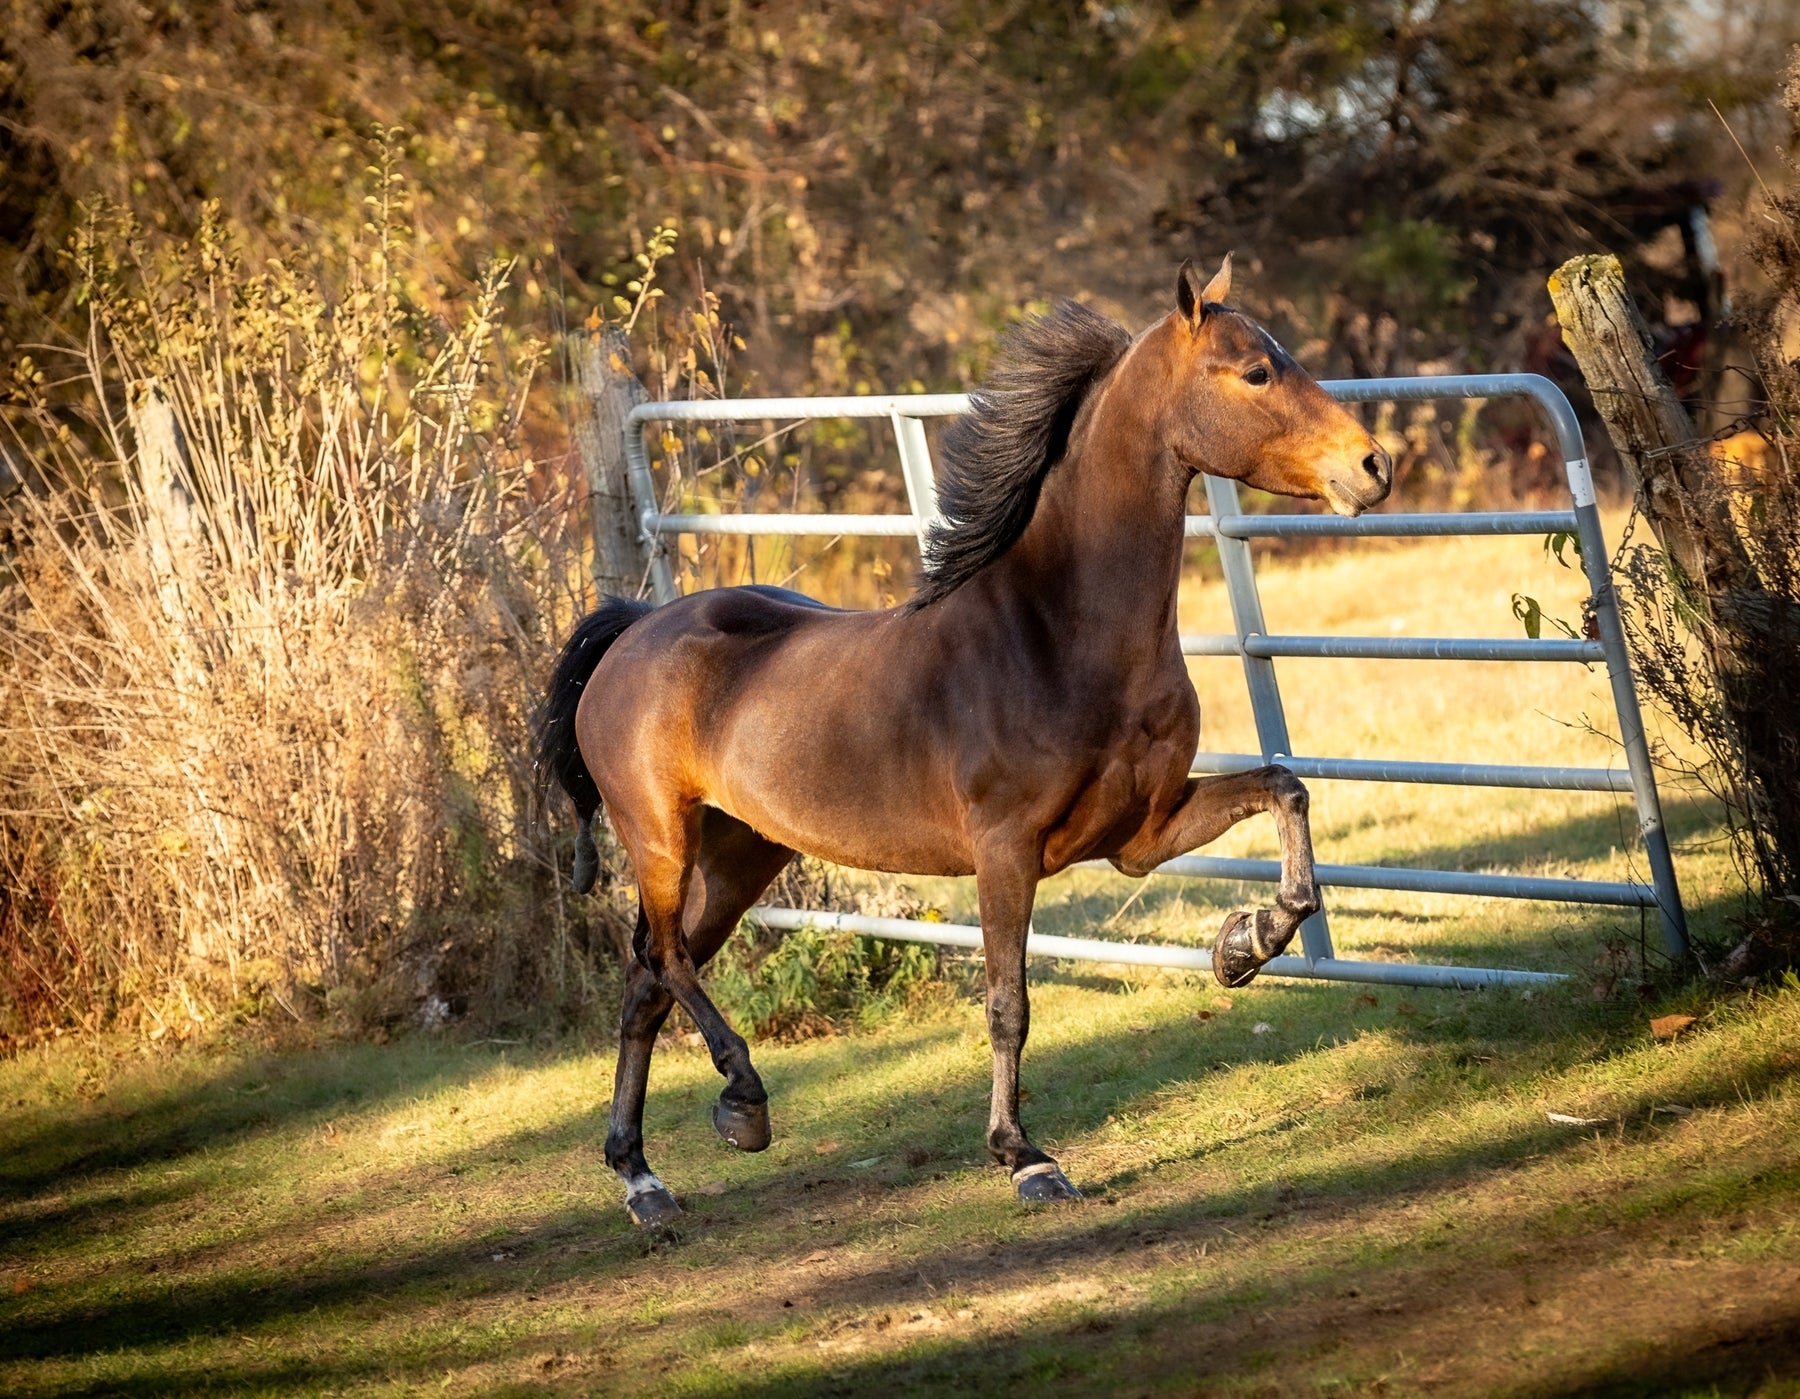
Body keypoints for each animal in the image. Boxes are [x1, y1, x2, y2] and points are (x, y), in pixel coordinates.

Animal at [536, 258, 1391, 1228]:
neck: (1054, 630)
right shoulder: (1006, 851)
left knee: (646, 983)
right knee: (666, 961)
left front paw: (1243, 944)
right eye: (1255, 371)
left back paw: (642, 1178)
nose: (1374, 465)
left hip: (739, 854)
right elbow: (1007, 1003)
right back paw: (741, 1103)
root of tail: (633, 628)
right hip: (661, 838)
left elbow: (1287, 790)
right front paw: (1025, 1157)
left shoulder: (1143, 833)